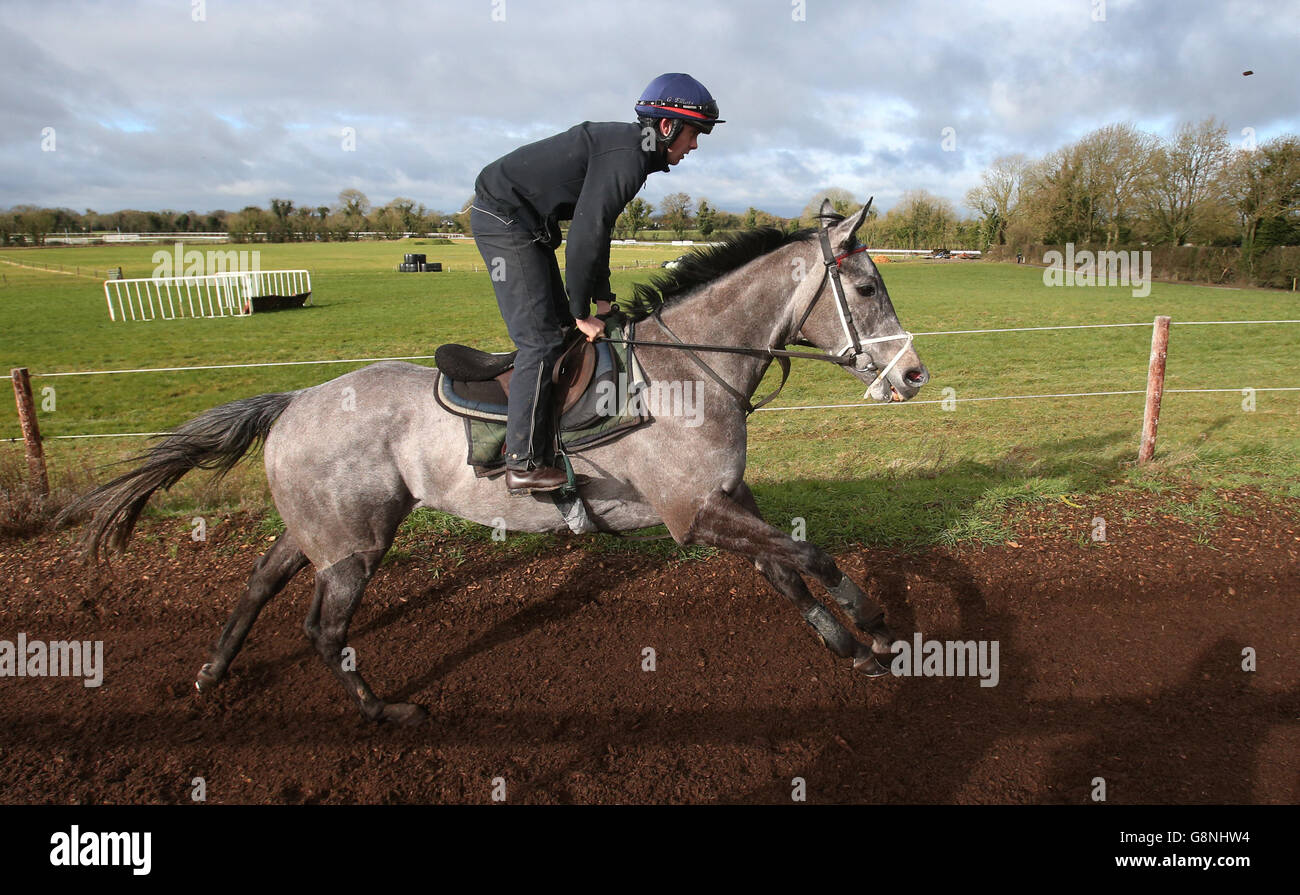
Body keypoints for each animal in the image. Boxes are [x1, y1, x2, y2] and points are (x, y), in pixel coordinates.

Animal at [61, 199, 930, 723]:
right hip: (355, 544)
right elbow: (809, 556)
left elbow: (788, 568)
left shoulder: (723, 498)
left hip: (323, 531)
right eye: (864, 284)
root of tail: (296, 398)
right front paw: (876, 625)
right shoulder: (695, 514)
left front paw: (852, 644)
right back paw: (382, 709)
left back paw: (212, 672)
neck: (688, 369)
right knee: (321, 626)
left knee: (258, 584)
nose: (916, 373)